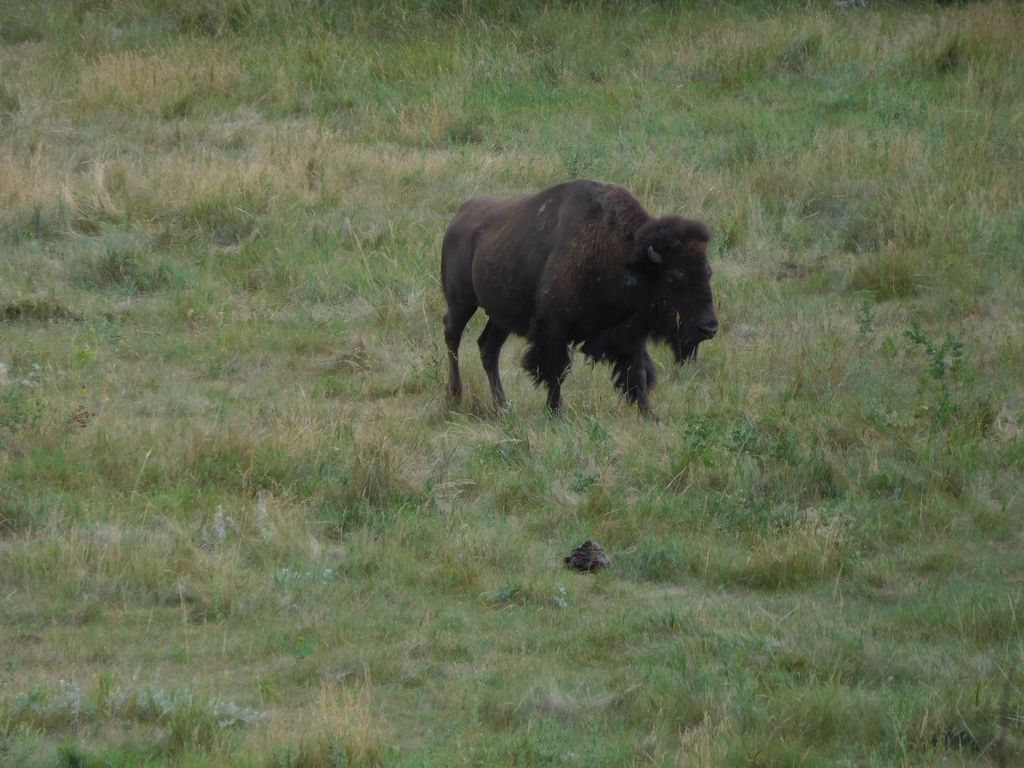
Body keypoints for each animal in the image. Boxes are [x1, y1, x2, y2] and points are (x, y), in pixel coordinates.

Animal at [440, 179, 718, 419]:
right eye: (675, 277)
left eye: (708, 272)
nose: (709, 327)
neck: (624, 256)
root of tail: (459, 216)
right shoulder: (554, 328)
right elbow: (556, 370)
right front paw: (555, 412)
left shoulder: (630, 332)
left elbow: (637, 372)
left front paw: (650, 415)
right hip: (462, 301)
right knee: (452, 334)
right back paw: (455, 395)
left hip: (501, 316)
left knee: (489, 348)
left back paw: (502, 405)